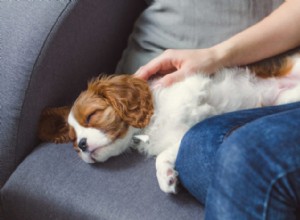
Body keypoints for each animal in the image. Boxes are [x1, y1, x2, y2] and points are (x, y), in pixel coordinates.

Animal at [38, 52, 300, 193]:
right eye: (73, 143)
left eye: (92, 116)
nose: (82, 145)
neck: (149, 124)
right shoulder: (179, 138)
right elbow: (167, 153)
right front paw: (166, 177)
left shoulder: (190, 81)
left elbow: (193, 96)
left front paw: (199, 106)